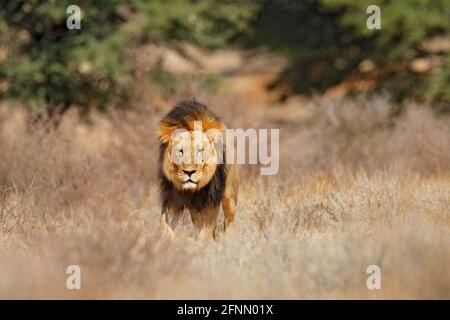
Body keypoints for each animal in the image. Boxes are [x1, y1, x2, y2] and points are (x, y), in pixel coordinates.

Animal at [157, 100, 237, 238]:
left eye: (200, 151)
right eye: (181, 151)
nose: (189, 172)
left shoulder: (211, 201)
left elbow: (205, 231)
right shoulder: (172, 199)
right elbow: (164, 225)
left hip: (229, 195)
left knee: (229, 220)